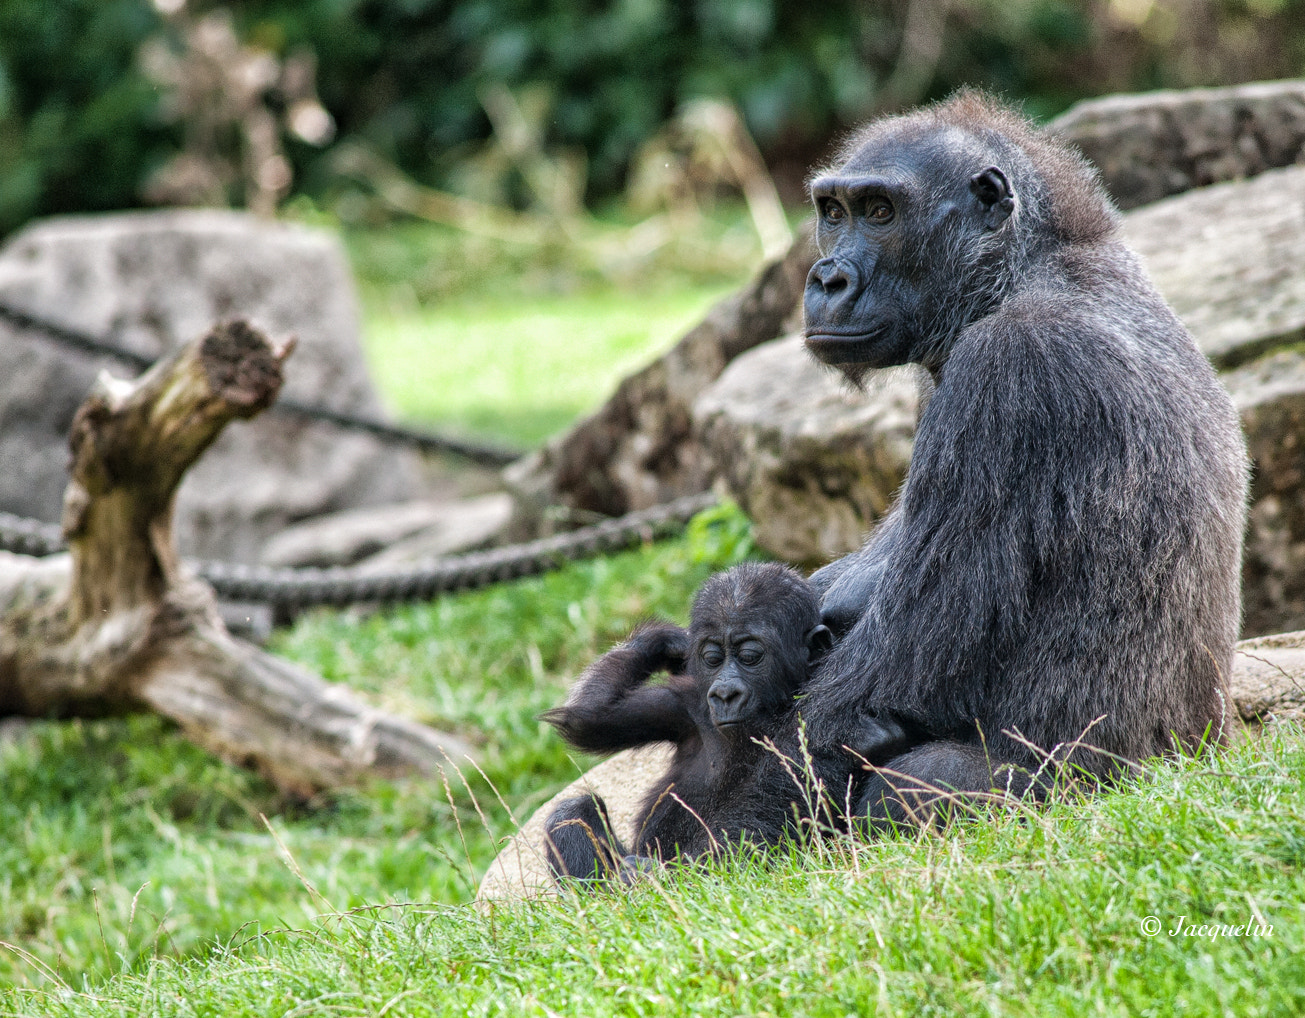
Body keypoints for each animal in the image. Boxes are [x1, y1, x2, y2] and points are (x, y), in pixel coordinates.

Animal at [542, 561, 829, 877]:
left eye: (750, 655)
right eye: (712, 658)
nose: (725, 693)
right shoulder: (685, 704)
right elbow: (592, 720)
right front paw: (669, 641)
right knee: (572, 810)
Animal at [793, 91, 1242, 824]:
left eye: (880, 212)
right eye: (833, 213)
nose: (827, 278)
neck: (1023, 272)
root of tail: (1206, 753)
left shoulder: (1009, 370)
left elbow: (870, 692)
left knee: (907, 788)